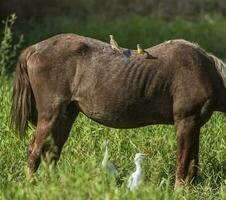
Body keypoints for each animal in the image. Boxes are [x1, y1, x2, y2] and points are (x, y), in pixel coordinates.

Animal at [11, 33, 226, 188]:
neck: (207, 72)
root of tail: (34, 49)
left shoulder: (194, 124)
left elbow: (192, 163)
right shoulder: (185, 121)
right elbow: (184, 162)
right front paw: (179, 190)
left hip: (66, 115)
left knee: (52, 152)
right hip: (51, 115)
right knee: (35, 150)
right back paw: (29, 186)